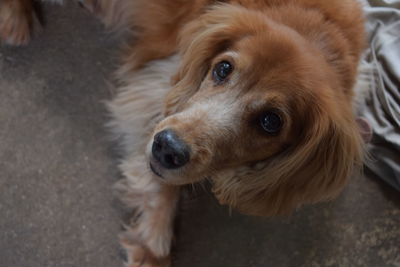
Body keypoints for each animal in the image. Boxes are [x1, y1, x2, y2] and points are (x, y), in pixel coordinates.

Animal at [2, 0, 366, 267]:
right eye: (223, 68)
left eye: (270, 121)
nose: (166, 147)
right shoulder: (156, 87)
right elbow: (160, 183)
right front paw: (154, 246)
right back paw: (15, 17)